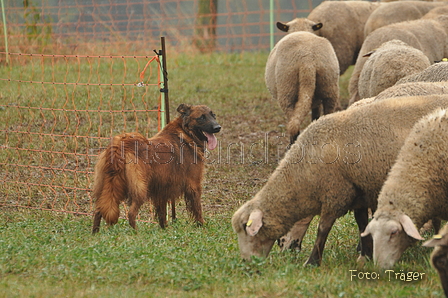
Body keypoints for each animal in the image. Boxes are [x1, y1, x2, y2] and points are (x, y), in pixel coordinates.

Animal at [92, 104, 221, 233]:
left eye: (213, 115)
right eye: (201, 117)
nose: (218, 127)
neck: (186, 132)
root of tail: (119, 145)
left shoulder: (162, 189)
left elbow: (162, 214)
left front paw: (164, 230)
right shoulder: (193, 185)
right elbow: (197, 209)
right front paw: (201, 225)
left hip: (107, 187)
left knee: (98, 210)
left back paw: (95, 233)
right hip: (140, 189)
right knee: (131, 213)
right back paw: (136, 233)